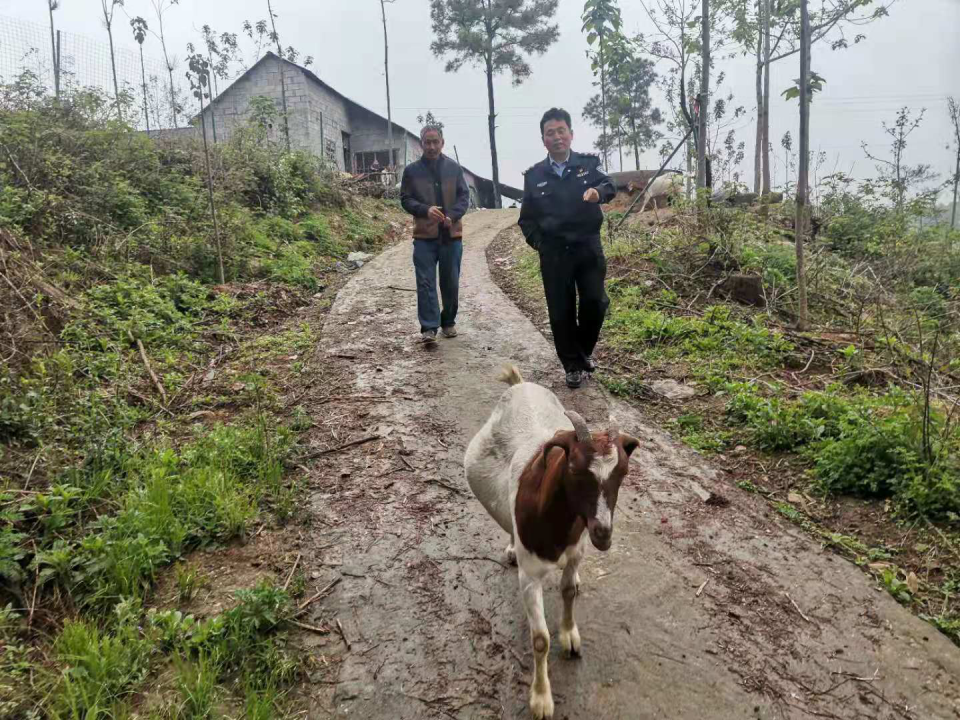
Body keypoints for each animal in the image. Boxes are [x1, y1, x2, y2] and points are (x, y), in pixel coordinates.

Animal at [464, 366, 636, 720]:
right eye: (573, 469)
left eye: (623, 473)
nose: (603, 533)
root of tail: (520, 385)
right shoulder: (530, 577)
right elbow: (540, 640)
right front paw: (541, 698)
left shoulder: (576, 551)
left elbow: (568, 591)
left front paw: (569, 635)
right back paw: (511, 547)